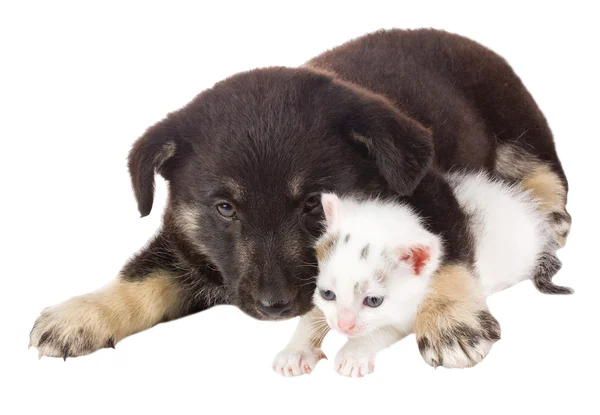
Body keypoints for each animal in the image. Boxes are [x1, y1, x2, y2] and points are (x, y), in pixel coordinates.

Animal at [274, 171, 568, 376]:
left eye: (373, 301)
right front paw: (295, 351)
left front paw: (353, 355)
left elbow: (382, 330)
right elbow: (313, 315)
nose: (344, 327)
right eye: (328, 294)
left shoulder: (410, 310)